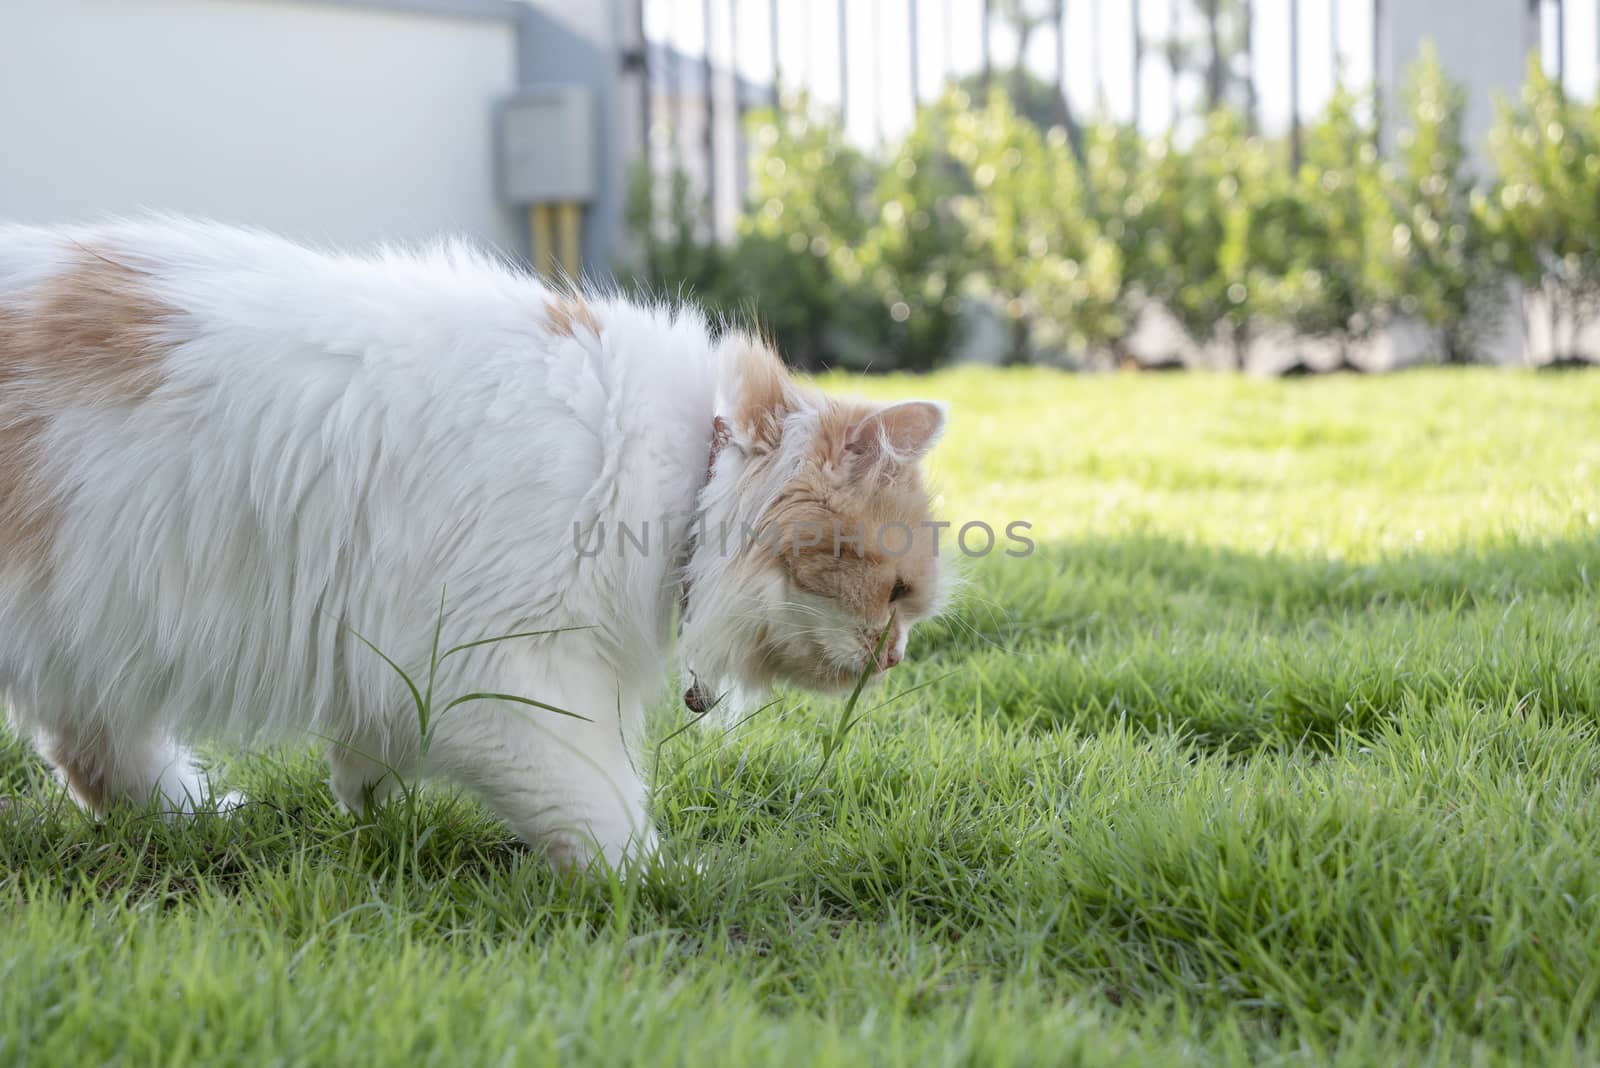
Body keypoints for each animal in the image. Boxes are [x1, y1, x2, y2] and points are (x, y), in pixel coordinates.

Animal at [0, 214, 947, 869]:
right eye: (898, 594)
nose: (897, 658)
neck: (684, 470)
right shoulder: (507, 670)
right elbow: (601, 806)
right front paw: (666, 880)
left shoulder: (403, 650)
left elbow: (372, 746)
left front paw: (362, 797)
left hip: (89, 628)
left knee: (94, 751)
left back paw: (194, 815)